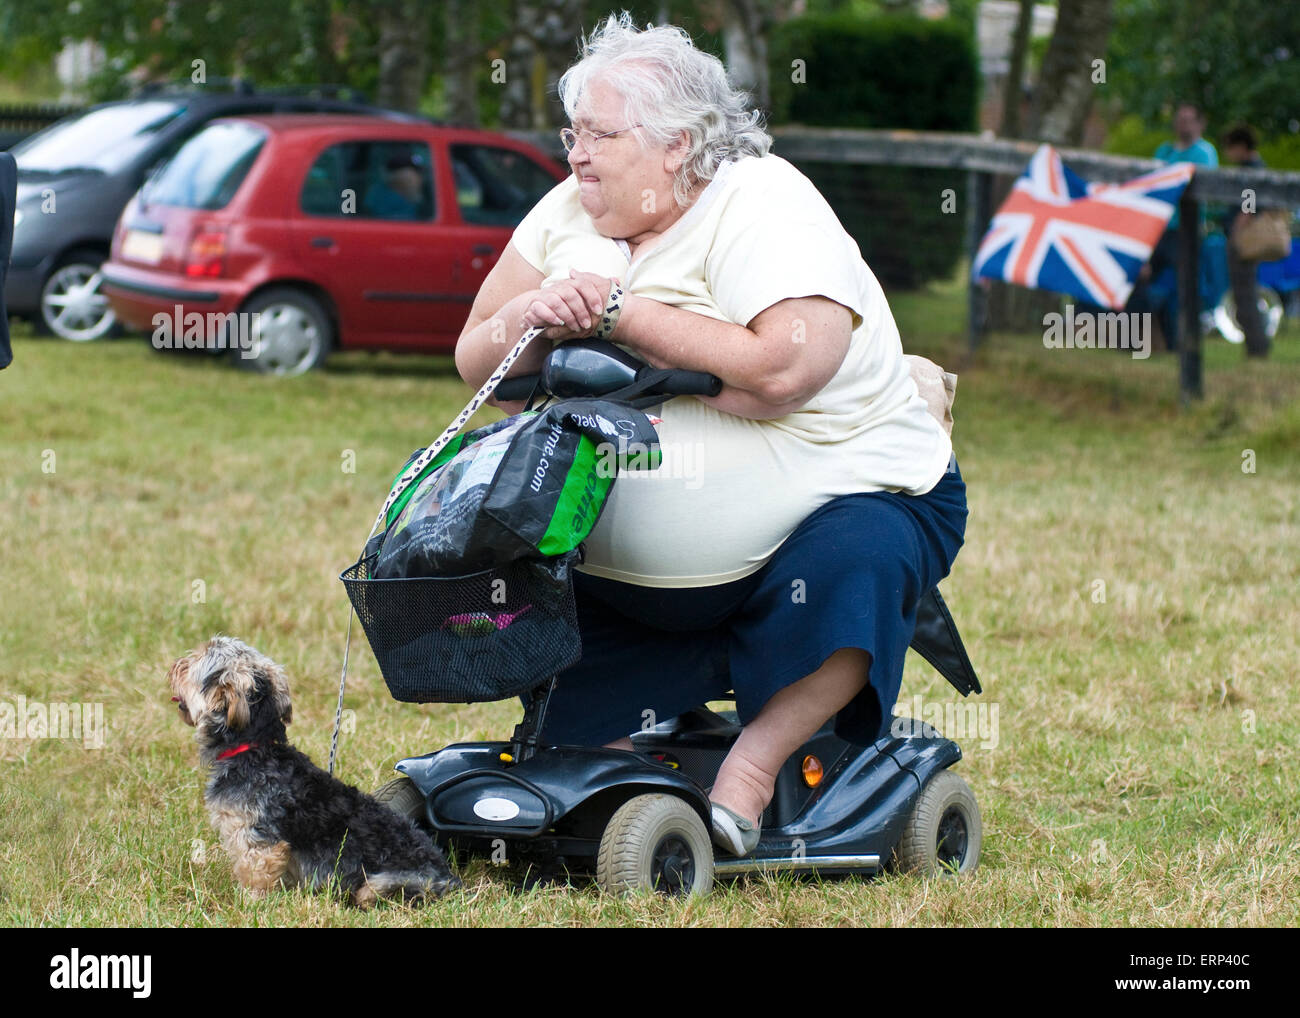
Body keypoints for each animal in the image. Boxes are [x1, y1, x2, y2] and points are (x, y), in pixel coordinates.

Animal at [170, 637, 460, 910]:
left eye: (195, 660)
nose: (175, 665)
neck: (254, 747)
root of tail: (450, 881)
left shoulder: (258, 840)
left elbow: (255, 876)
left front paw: (248, 904)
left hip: (381, 884)